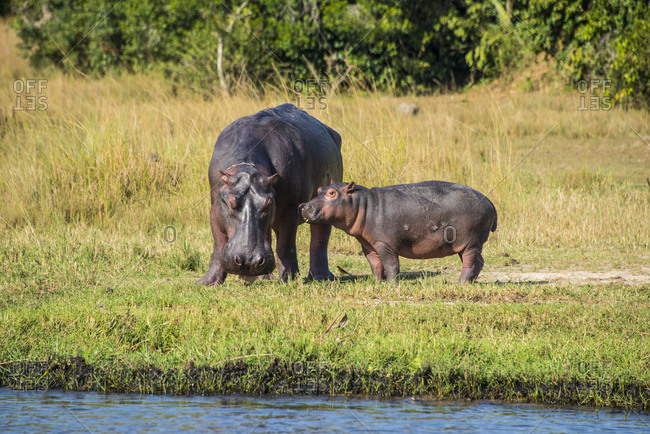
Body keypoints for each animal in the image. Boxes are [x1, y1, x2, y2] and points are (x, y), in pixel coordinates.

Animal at [196, 104, 343, 285]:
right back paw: (262, 278)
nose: (249, 260)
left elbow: (285, 246)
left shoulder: (290, 210)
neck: (247, 167)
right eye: (231, 203)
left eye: (268, 203)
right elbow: (218, 244)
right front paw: (207, 283)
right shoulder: (215, 208)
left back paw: (322, 277)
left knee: (319, 238)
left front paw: (289, 279)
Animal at [299, 181, 497, 283]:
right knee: (479, 261)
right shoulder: (368, 244)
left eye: (332, 193)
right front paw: (376, 283)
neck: (362, 203)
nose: (304, 206)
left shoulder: (384, 243)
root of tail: (490, 201)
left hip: (470, 242)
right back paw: (470, 281)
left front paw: (390, 285)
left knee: (470, 262)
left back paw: (460, 283)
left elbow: (390, 264)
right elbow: (375, 264)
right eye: (319, 189)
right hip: (467, 244)